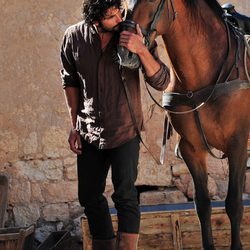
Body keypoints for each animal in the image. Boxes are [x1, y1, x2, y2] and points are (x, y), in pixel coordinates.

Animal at [117, 0, 250, 250]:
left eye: (152, 1)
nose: (125, 51)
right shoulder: (192, 149)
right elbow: (203, 205)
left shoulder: (237, 146)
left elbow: (234, 203)